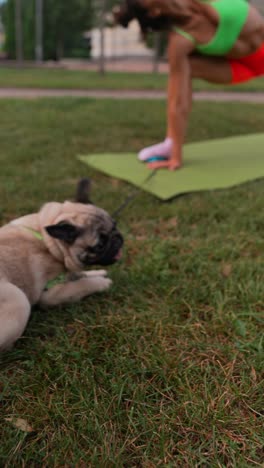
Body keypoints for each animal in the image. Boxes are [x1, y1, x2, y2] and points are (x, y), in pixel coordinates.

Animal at [0, 180, 124, 352]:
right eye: (99, 245)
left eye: (115, 225)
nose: (118, 239)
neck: (48, 242)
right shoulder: (51, 294)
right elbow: (82, 284)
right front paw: (101, 282)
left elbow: (79, 275)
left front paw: (97, 273)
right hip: (19, 299)